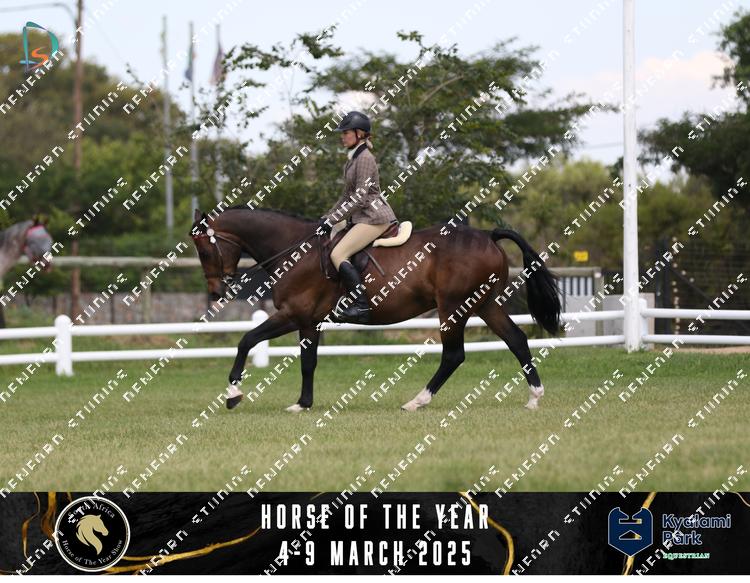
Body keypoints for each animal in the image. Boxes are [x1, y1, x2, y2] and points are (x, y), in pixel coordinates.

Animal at [190, 207, 561, 413]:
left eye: (205, 251)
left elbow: (246, 341)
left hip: (453, 307)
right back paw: (534, 397)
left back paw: (417, 401)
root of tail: (487, 235)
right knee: (516, 340)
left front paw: (233, 394)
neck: (294, 250)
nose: (216, 291)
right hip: (484, 304)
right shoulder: (309, 322)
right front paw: (302, 404)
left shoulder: (292, 315)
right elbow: (308, 363)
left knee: (454, 355)